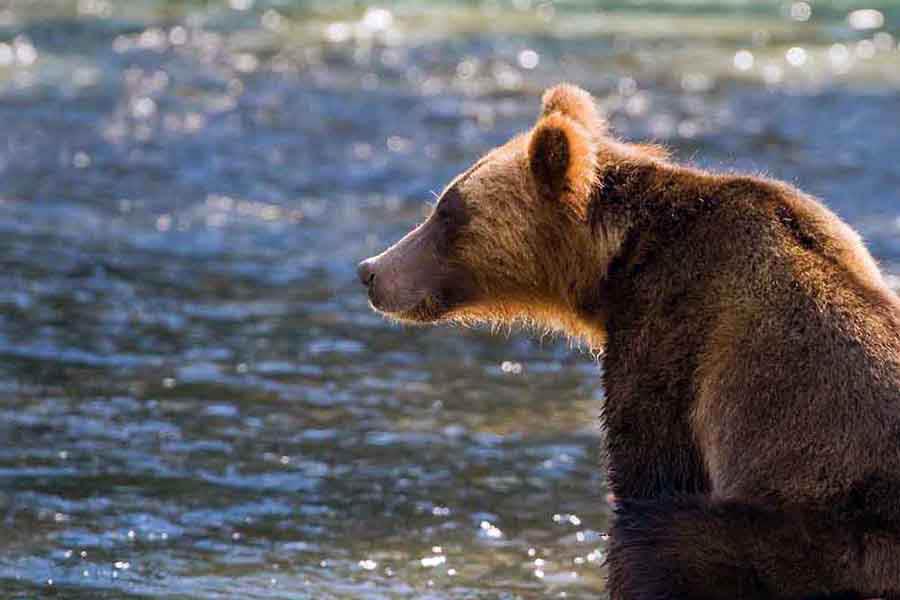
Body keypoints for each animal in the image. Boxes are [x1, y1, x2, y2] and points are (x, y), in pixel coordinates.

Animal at [357, 83, 900, 600]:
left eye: (448, 213)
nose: (370, 271)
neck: (616, 261)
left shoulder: (676, 321)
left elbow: (650, 464)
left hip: (823, 537)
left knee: (656, 540)